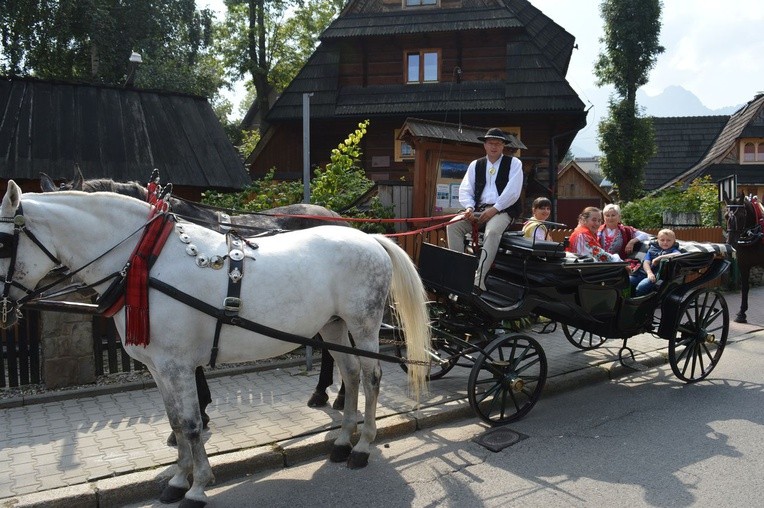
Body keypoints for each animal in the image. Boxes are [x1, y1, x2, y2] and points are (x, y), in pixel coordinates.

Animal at [0, 181, 430, 506]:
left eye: (3, 242)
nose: (3, 309)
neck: (148, 260)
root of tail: (370, 238)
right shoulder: (160, 368)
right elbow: (176, 421)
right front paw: (178, 479)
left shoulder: (177, 366)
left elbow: (191, 424)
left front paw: (198, 485)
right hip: (334, 326)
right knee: (351, 374)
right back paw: (341, 440)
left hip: (364, 323)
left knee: (372, 377)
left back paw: (363, 446)